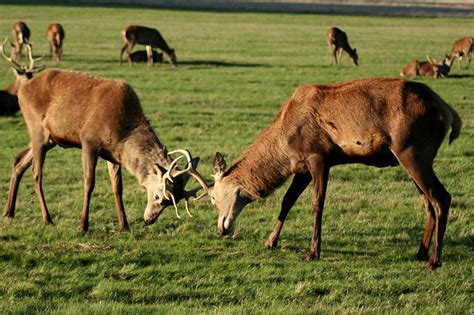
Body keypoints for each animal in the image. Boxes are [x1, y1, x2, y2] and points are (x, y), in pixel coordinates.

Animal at [0, 41, 206, 232]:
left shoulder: (113, 154)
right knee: (36, 173)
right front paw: (83, 225)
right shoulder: (88, 140)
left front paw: (124, 225)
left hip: (51, 138)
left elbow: (117, 187)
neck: (124, 133)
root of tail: (22, 89)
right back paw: (47, 218)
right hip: (37, 129)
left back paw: (8, 212)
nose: (149, 220)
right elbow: (89, 182)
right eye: (158, 196)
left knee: (19, 161)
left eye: (171, 202)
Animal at [199, 78, 460, 270]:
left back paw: (434, 260)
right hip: (412, 158)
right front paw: (271, 241)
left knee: (441, 197)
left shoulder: (319, 156)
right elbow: (287, 201)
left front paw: (313, 252)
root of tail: (449, 113)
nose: (221, 229)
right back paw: (420, 252)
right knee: (428, 201)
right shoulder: (302, 167)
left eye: (213, 198)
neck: (283, 143)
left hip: (413, 151)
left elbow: (318, 203)